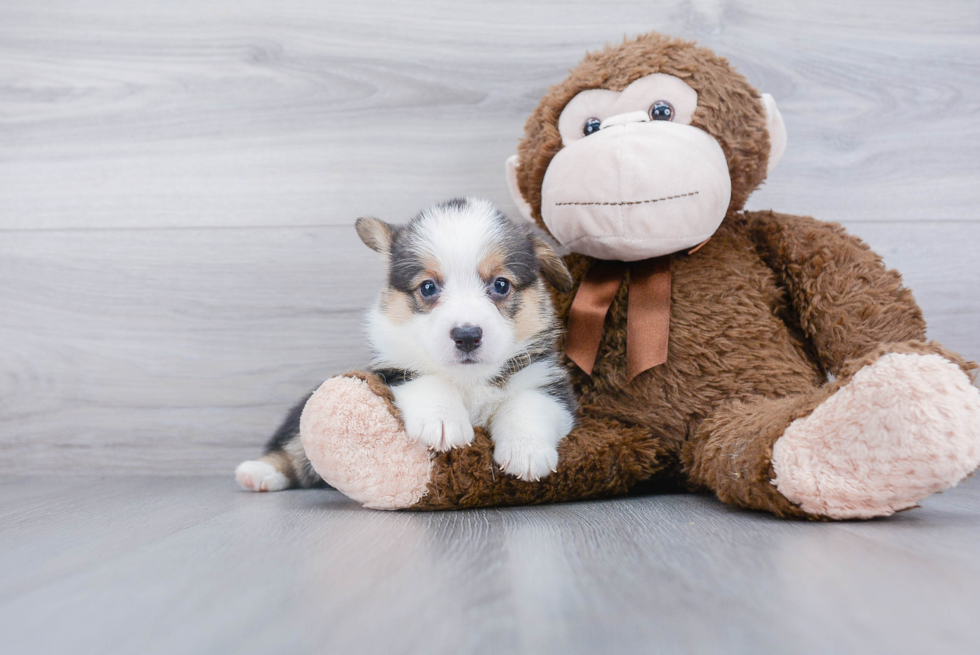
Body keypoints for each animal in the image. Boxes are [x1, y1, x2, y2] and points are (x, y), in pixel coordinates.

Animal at [234, 197, 580, 494]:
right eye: (427, 287)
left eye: (501, 284)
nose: (467, 336)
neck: (467, 380)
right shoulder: (390, 371)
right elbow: (428, 380)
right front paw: (443, 422)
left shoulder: (549, 383)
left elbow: (528, 404)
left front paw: (527, 452)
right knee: (294, 448)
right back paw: (258, 472)